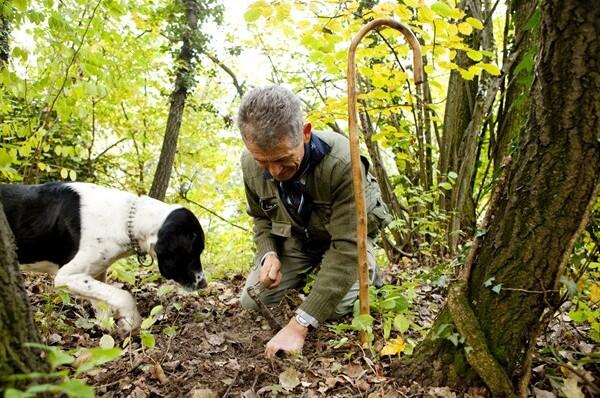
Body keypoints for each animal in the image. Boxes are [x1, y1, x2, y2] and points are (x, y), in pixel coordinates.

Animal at [0, 182, 206, 332]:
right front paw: (130, 322)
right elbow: (123, 295)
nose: (204, 284)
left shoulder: (95, 273)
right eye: (195, 250)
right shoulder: (66, 276)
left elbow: (102, 303)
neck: (125, 219)